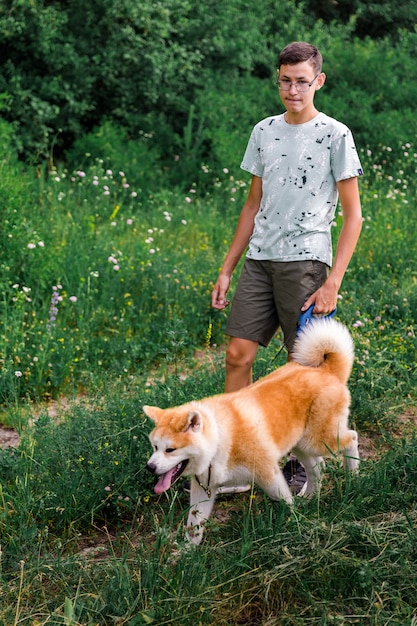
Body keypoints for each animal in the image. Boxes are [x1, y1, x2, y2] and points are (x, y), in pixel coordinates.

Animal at [144, 316, 358, 540]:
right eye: (155, 447)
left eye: (170, 449)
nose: (149, 467)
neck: (219, 439)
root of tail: (326, 370)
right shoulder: (203, 489)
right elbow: (193, 527)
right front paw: (186, 550)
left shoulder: (269, 474)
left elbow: (284, 501)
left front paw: (293, 523)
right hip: (301, 444)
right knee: (316, 468)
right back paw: (309, 497)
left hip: (318, 441)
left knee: (351, 438)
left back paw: (353, 475)